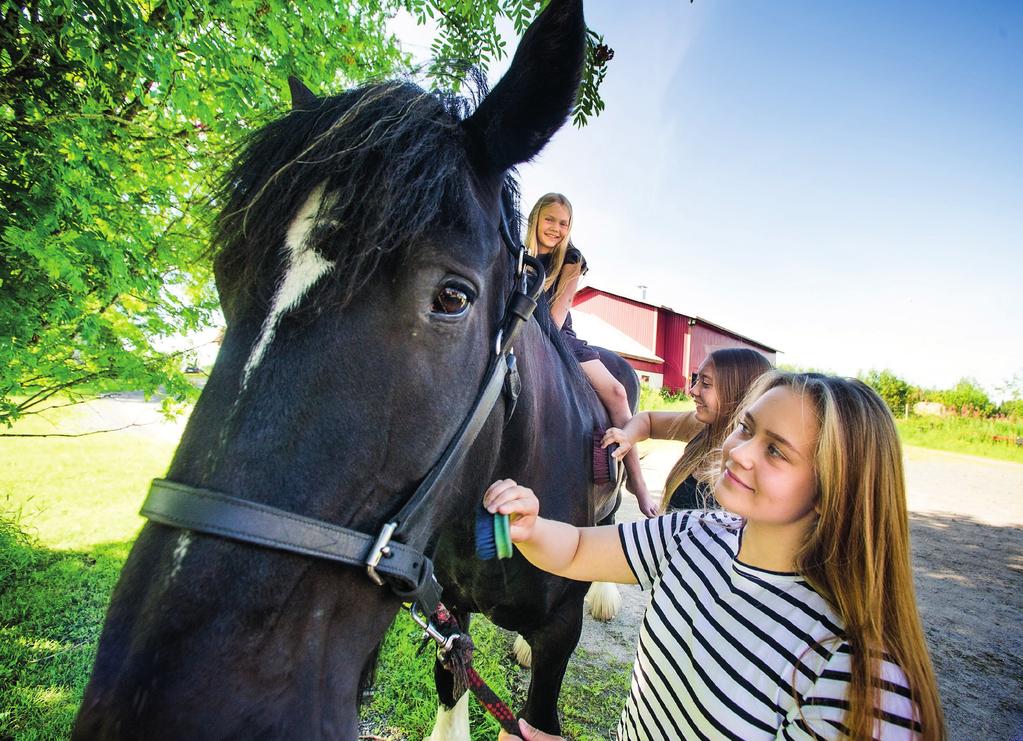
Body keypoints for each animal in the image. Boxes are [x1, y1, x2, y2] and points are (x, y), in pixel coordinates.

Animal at [72, 2, 634, 736]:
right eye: (225, 276)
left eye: (453, 298)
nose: (145, 710)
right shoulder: (449, 608)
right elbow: (452, 680)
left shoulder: (557, 636)